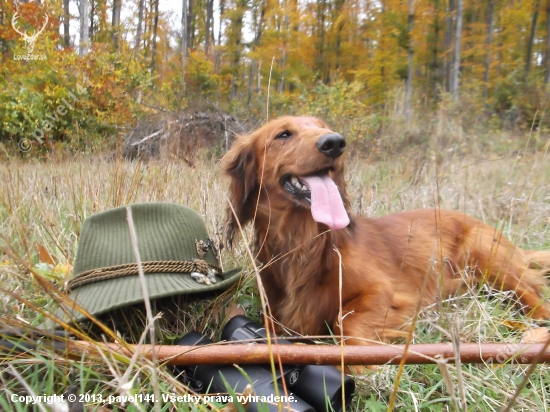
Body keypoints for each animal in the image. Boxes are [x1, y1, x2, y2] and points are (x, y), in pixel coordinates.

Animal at [222, 116, 550, 348]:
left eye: (323, 127)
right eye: (283, 134)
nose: (335, 143)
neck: (305, 244)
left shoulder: (389, 293)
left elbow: (345, 321)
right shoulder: (274, 315)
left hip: (485, 255)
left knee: (531, 293)